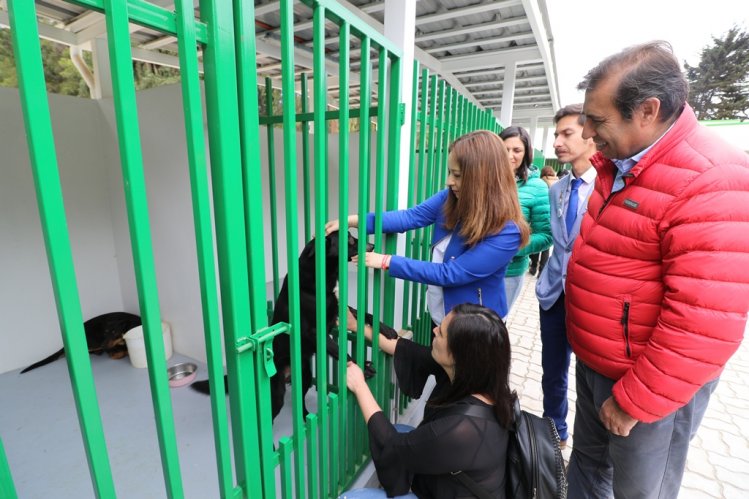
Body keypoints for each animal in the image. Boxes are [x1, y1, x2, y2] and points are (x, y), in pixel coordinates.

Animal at [193, 232, 400, 420]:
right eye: (349, 239)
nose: (372, 245)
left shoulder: (338, 310)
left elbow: (364, 314)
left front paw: (386, 329)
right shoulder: (315, 332)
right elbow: (339, 350)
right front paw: (362, 367)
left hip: (305, 376)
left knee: (299, 401)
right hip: (277, 395)